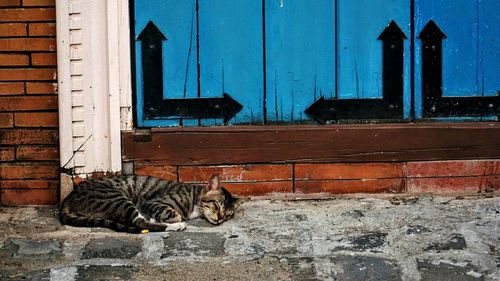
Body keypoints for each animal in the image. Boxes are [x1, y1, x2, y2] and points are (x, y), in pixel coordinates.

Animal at [60, 174, 248, 233]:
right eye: (216, 206)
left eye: (228, 215)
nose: (220, 218)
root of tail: (69, 198)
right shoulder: (151, 203)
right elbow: (174, 212)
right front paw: (175, 219)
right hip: (118, 199)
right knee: (140, 223)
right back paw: (175, 225)